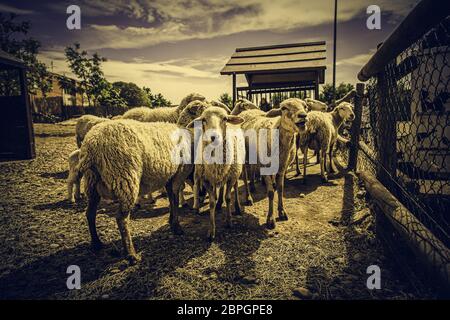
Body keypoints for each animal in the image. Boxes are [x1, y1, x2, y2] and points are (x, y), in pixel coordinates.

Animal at [78, 119, 193, 264]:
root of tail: (92, 146)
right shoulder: (179, 174)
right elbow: (175, 199)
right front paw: (177, 227)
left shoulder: (169, 176)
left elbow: (172, 200)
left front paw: (172, 221)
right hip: (125, 179)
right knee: (121, 219)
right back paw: (131, 254)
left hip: (91, 183)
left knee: (90, 213)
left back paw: (96, 243)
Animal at [186, 107, 244, 240]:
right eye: (203, 120)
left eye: (225, 119)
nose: (213, 137)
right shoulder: (206, 179)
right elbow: (211, 202)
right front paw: (211, 230)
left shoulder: (231, 178)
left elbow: (228, 198)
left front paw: (229, 221)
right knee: (219, 187)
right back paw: (217, 204)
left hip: (235, 172)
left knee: (235, 188)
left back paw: (237, 207)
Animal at [243, 99, 310, 229]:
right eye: (283, 108)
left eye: (305, 106)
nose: (303, 115)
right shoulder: (265, 167)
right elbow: (270, 193)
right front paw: (270, 218)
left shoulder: (282, 167)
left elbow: (280, 189)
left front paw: (282, 212)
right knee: (244, 176)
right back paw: (248, 198)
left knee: (252, 169)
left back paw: (253, 186)